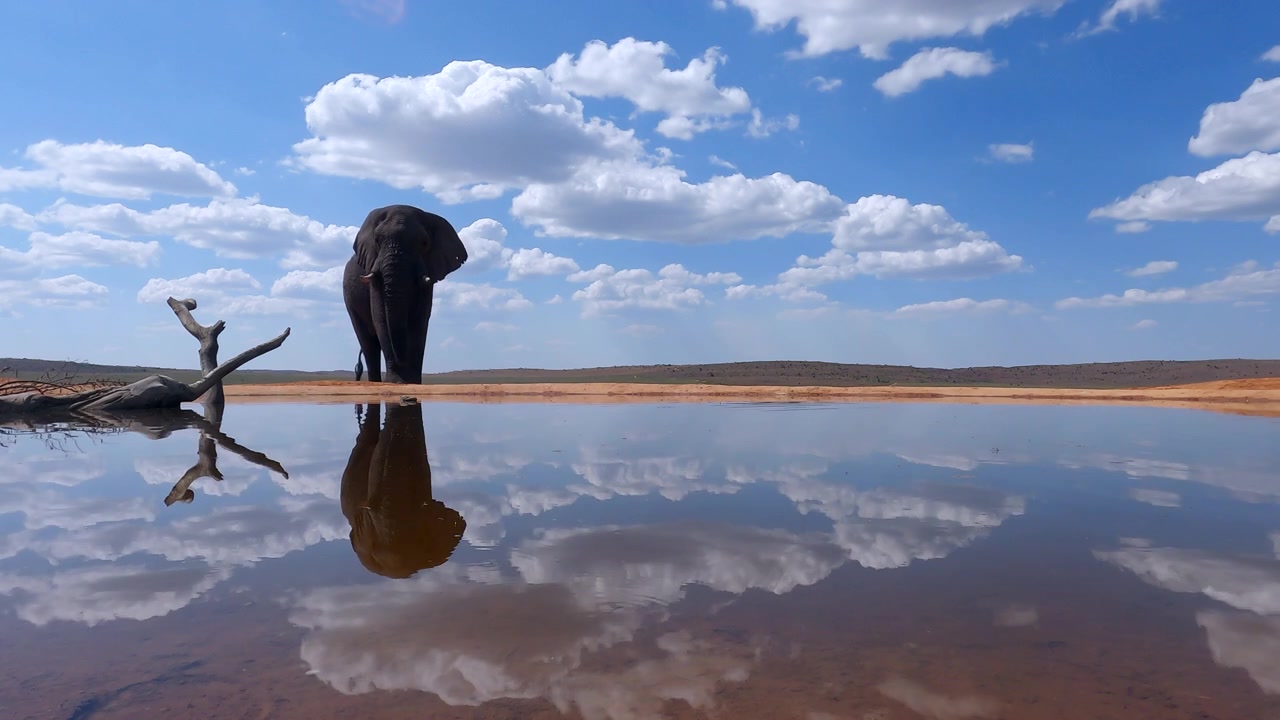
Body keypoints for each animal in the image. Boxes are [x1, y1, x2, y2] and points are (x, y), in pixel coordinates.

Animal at [343, 204, 468, 385]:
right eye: (377, 241)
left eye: (424, 243)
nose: (402, 360)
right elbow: (380, 317)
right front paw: (396, 381)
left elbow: (420, 318)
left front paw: (412, 381)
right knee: (368, 342)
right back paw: (375, 382)